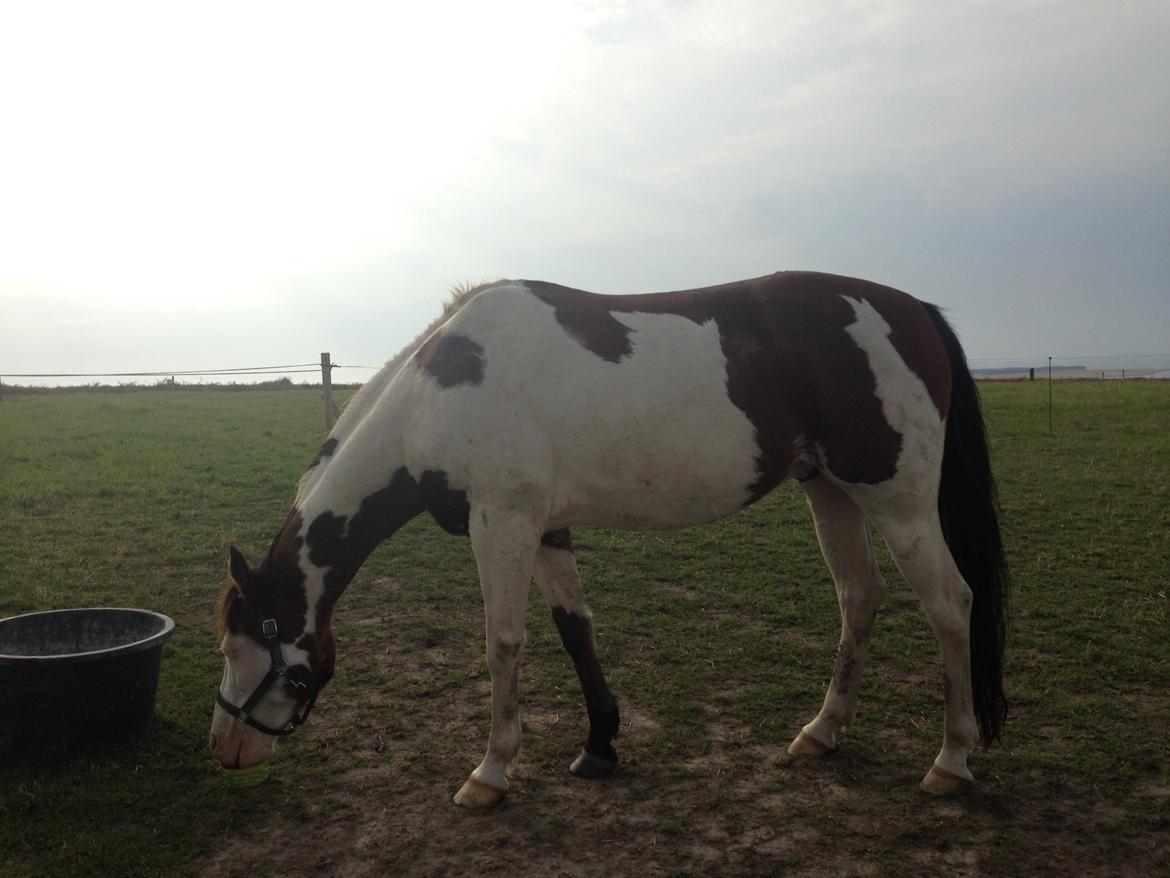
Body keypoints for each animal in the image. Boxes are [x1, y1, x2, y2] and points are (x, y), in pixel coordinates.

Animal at [209, 270, 1008, 807]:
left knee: (951, 605)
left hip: (898, 503)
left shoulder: (501, 523)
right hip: (832, 492)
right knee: (858, 599)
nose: (227, 749)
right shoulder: (547, 526)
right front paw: (599, 745)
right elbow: (574, 629)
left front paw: (490, 773)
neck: (439, 393)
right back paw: (820, 732)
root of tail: (913, 310)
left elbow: (503, 645)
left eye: (247, 649)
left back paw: (951, 760)